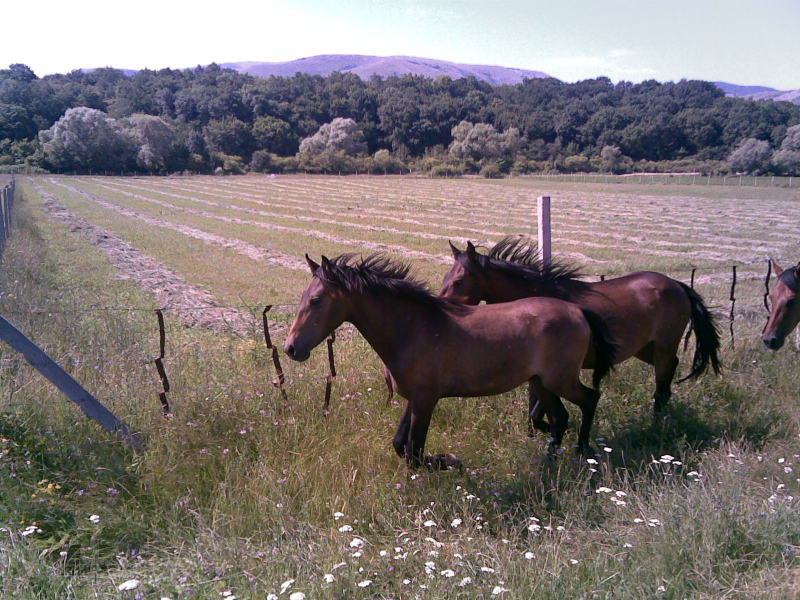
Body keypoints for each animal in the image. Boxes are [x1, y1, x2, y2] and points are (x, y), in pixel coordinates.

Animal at [288, 252, 620, 464]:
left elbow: (415, 454)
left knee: (589, 399)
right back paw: (549, 462)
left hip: (559, 380)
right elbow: (400, 446)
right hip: (541, 382)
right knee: (560, 418)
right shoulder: (414, 398)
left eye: (315, 300)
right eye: (302, 297)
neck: (413, 328)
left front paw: (450, 460)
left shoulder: (427, 399)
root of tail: (578, 311)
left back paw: (582, 451)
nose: (292, 348)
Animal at [440, 234, 720, 432]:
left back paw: (656, 424)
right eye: (445, 278)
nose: (442, 306)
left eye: (458, 281)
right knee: (670, 370)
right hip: (645, 348)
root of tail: (678, 285)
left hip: (664, 345)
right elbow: (537, 411)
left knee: (662, 383)